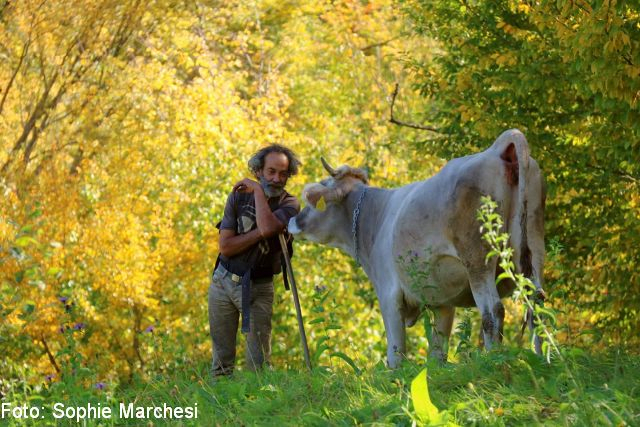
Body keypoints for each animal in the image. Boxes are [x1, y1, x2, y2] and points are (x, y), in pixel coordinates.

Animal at [290, 130, 544, 368]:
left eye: (314, 199)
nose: (293, 220)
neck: (375, 217)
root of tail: (497, 149)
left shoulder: (388, 294)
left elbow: (395, 353)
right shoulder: (442, 302)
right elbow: (438, 351)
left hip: (477, 258)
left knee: (493, 311)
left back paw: (495, 360)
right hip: (533, 247)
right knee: (537, 305)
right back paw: (542, 357)